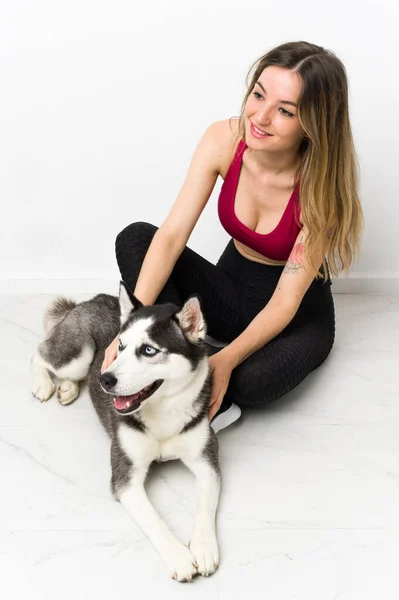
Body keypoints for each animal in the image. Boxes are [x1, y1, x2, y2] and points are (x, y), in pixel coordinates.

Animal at [30, 284, 220, 584]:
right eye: (120, 346)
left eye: (149, 350)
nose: (104, 380)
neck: (163, 412)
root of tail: (94, 299)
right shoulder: (125, 478)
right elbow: (153, 519)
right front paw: (178, 556)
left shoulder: (206, 459)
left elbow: (205, 503)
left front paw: (203, 547)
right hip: (79, 355)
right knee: (40, 354)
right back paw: (43, 382)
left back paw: (69, 388)